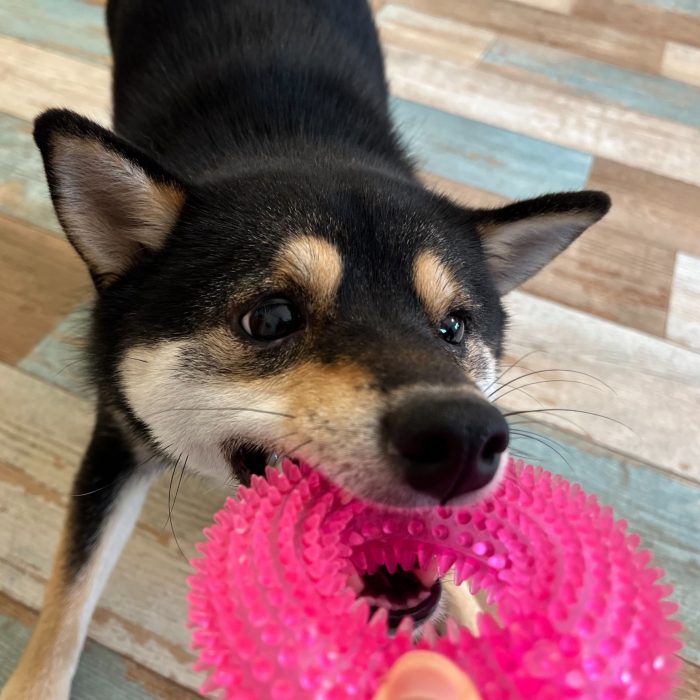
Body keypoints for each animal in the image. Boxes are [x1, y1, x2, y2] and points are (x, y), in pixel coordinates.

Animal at [1, 1, 608, 696]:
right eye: (271, 318)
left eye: (453, 327)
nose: (463, 438)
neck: (294, 138)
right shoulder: (119, 439)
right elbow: (67, 597)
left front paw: (468, 610)